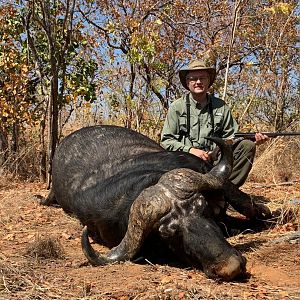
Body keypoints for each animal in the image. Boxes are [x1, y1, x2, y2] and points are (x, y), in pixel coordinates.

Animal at [46, 125, 270, 280]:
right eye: (168, 234)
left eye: (203, 208)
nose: (230, 266)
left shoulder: (203, 169)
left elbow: (240, 199)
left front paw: (262, 213)